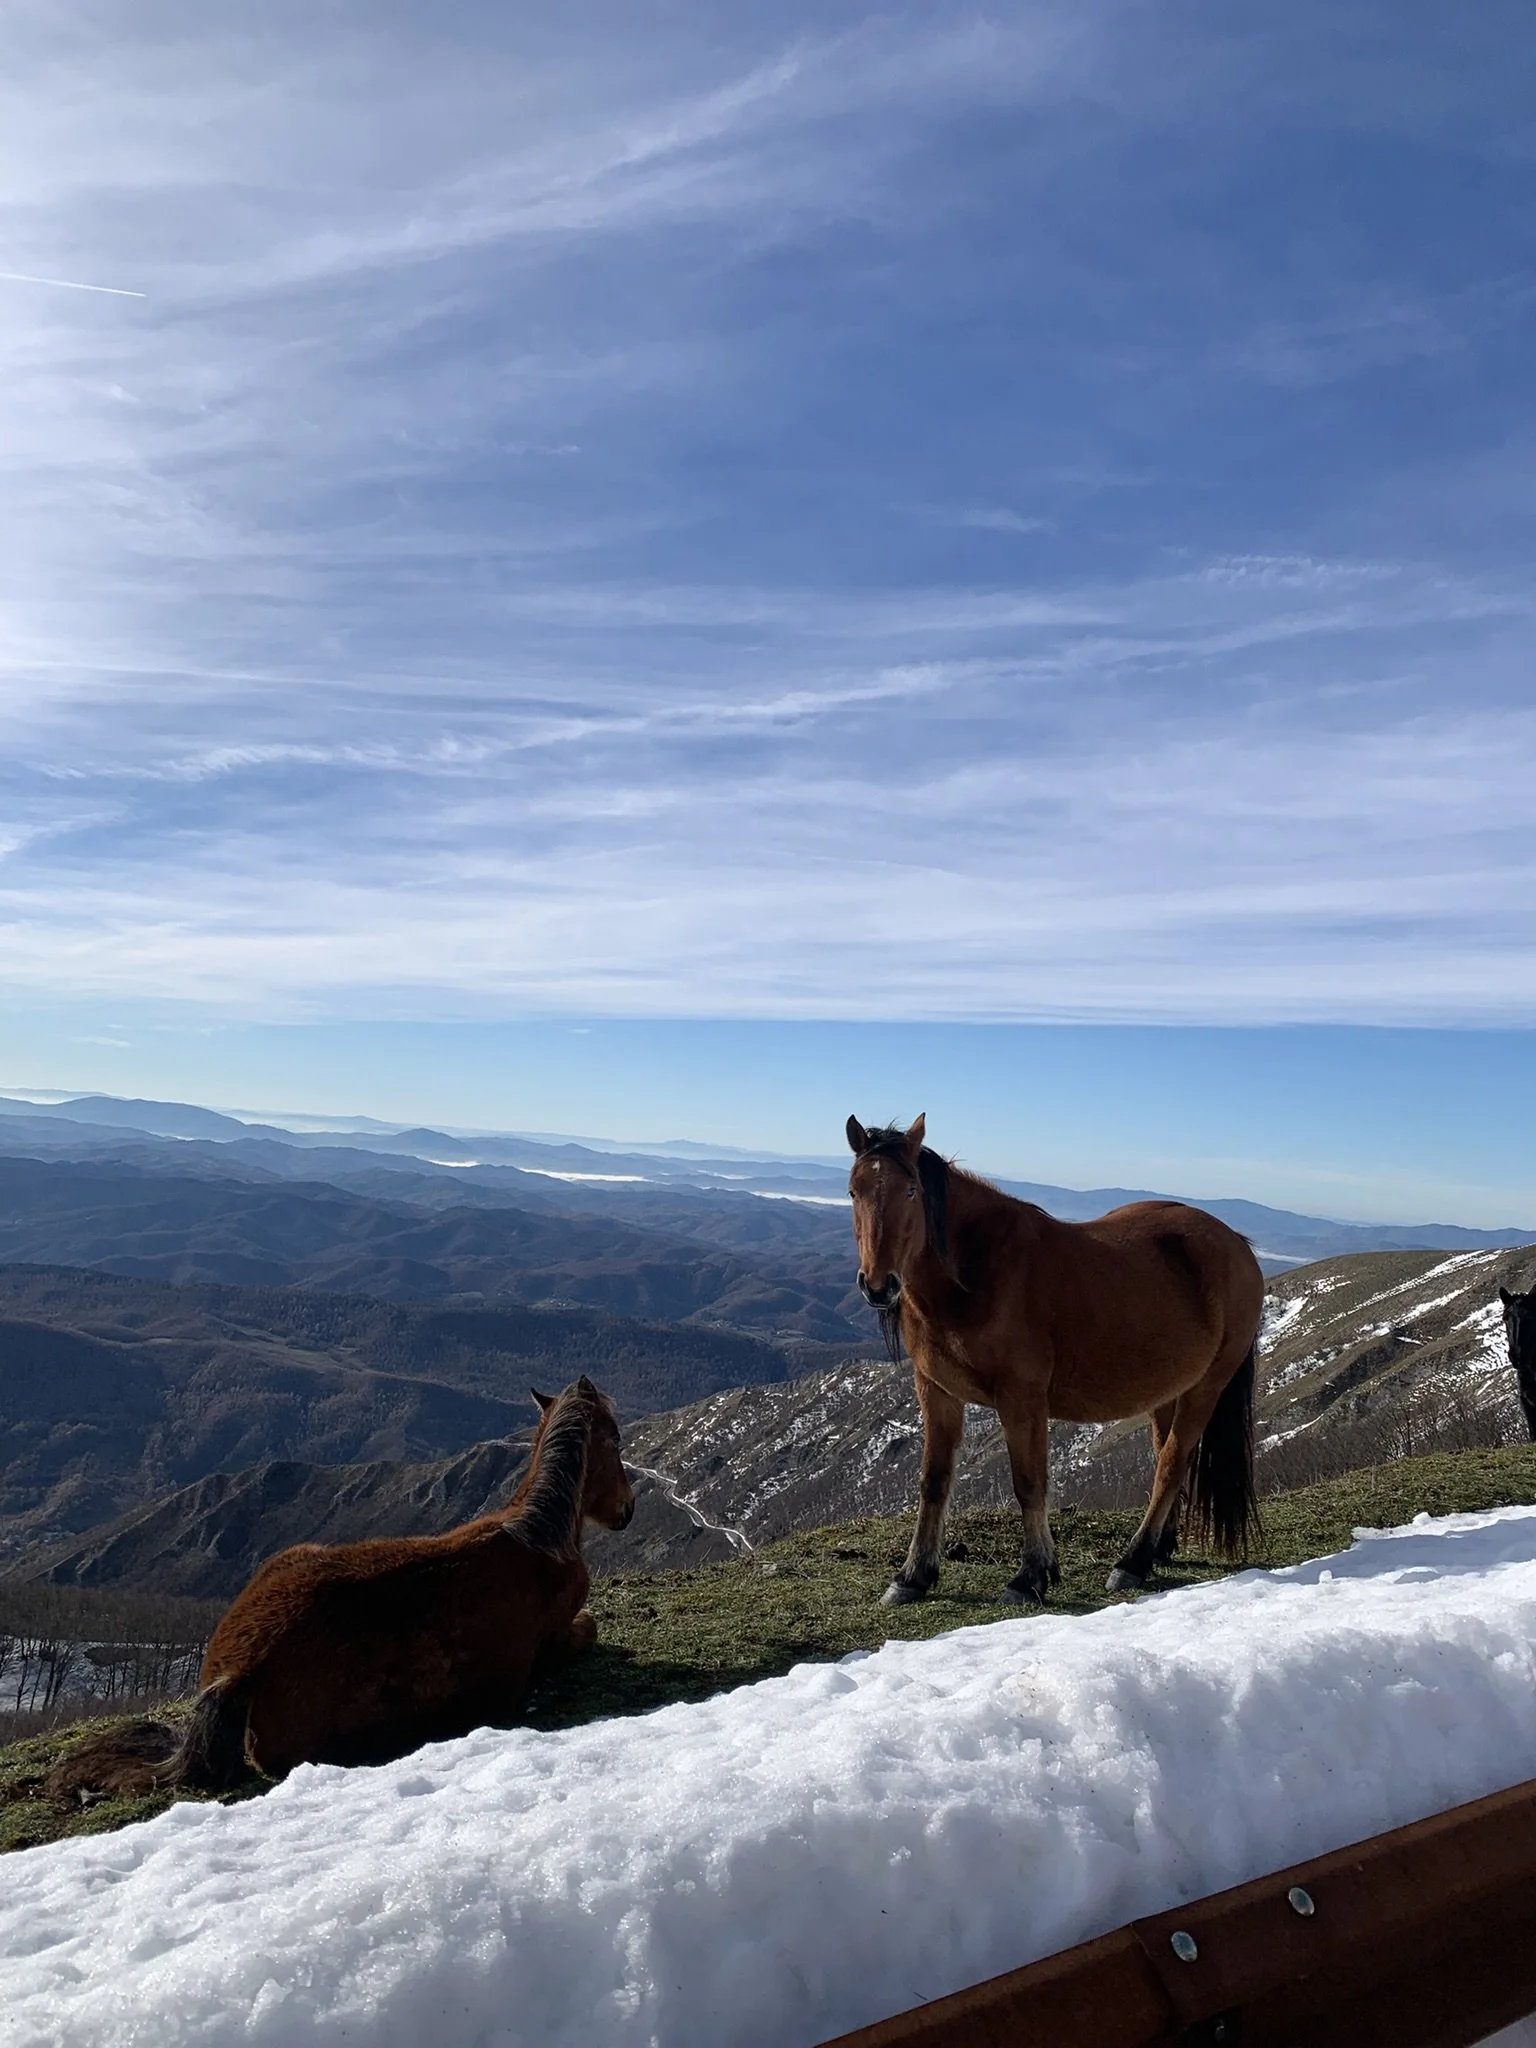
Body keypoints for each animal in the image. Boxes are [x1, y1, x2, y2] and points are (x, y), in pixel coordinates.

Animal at [48, 1376, 634, 1801]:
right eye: (616, 1437)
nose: (626, 1511)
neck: (538, 1533)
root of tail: (237, 1671)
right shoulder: (556, 1641)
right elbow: (589, 1628)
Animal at [846, 1114, 1265, 1605]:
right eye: (853, 1191)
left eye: (911, 1190)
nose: (879, 1285)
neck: (976, 1273)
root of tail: (1237, 1244)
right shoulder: (936, 1390)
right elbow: (934, 1480)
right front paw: (913, 1575)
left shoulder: (1021, 1399)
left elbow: (1028, 1483)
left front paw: (1031, 1575)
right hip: (1169, 1388)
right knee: (1168, 1454)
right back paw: (1159, 1547)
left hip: (1208, 1386)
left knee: (1172, 1462)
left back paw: (1133, 1561)